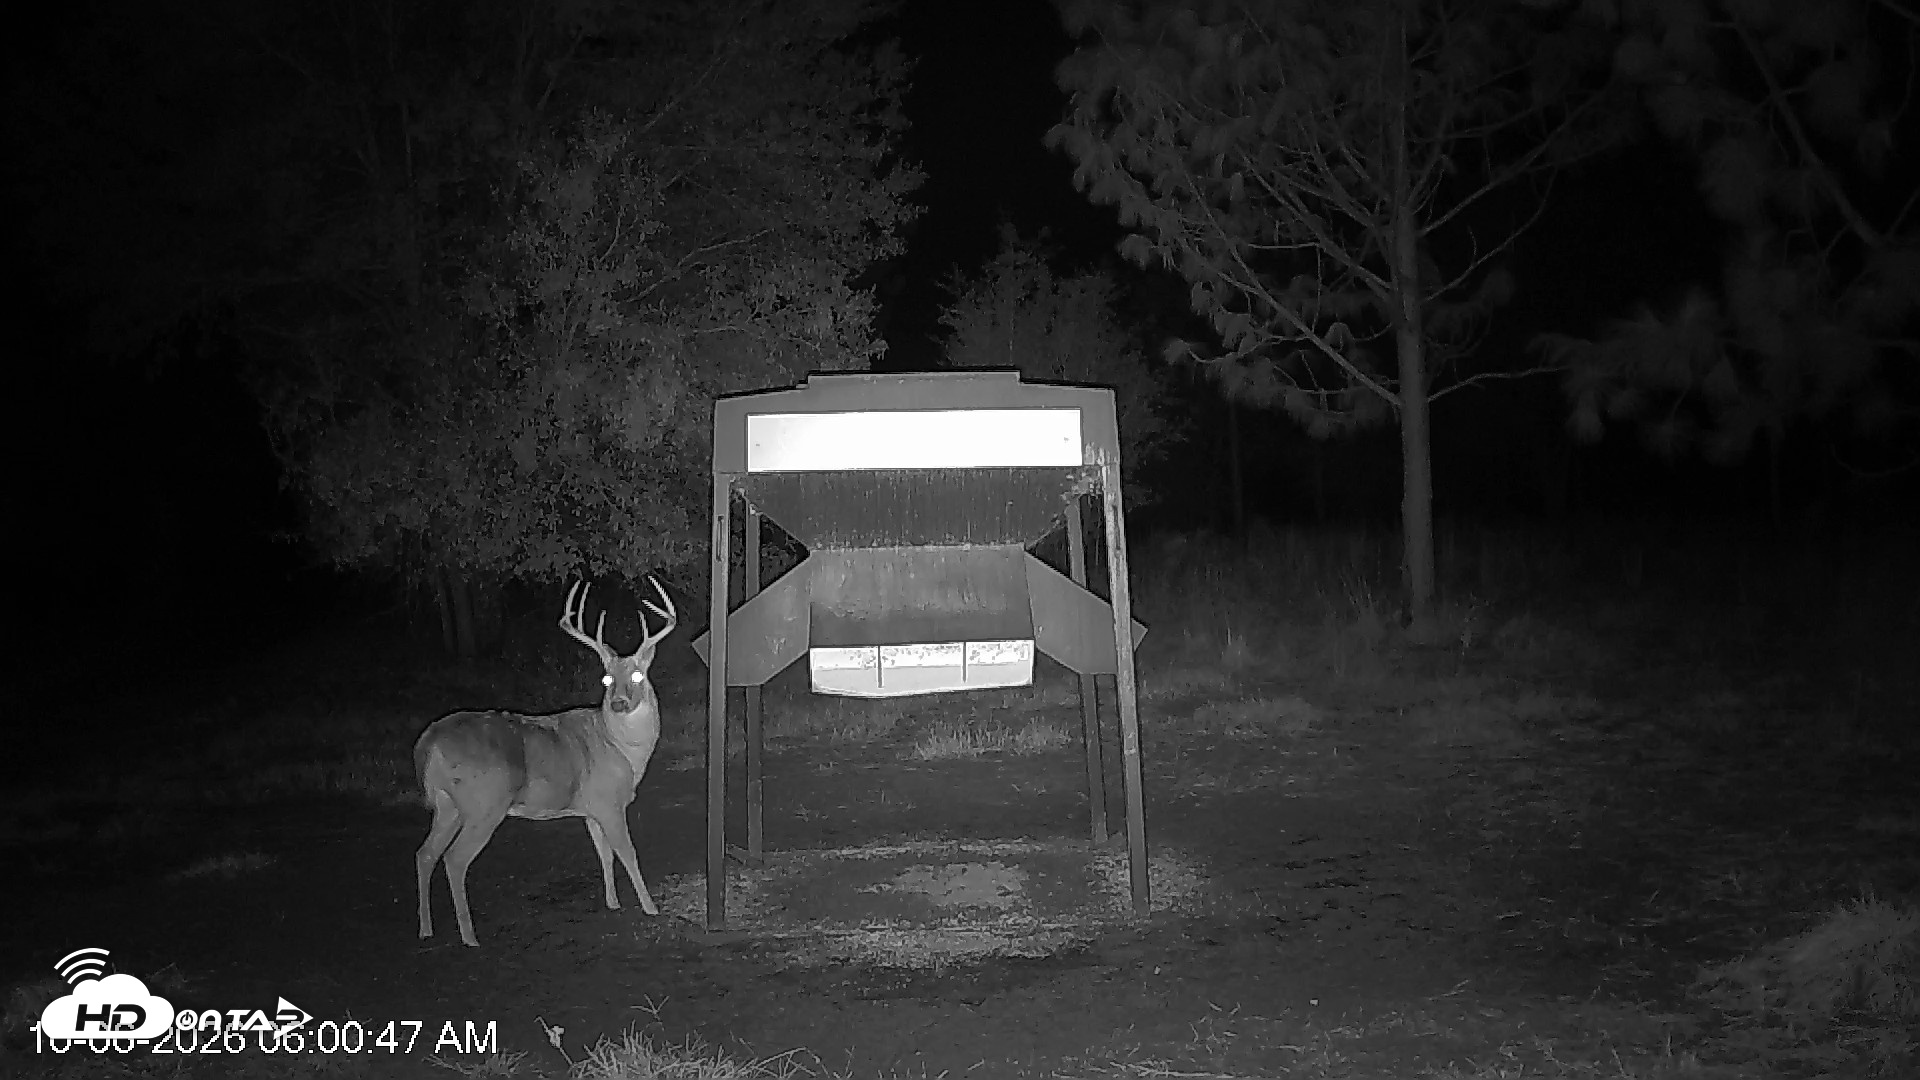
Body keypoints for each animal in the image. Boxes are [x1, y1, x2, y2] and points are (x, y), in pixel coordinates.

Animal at [413, 577, 676, 947]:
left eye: (638, 676)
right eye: (607, 679)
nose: (619, 703)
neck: (621, 749)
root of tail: (429, 741)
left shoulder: (591, 807)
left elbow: (604, 853)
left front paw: (612, 902)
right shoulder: (609, 801)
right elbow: (628, 853)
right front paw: (651, 907)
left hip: (447, 804)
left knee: (425, 854)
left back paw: (425, 928)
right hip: (484, 803)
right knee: (454, 859)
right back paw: (469, 937)